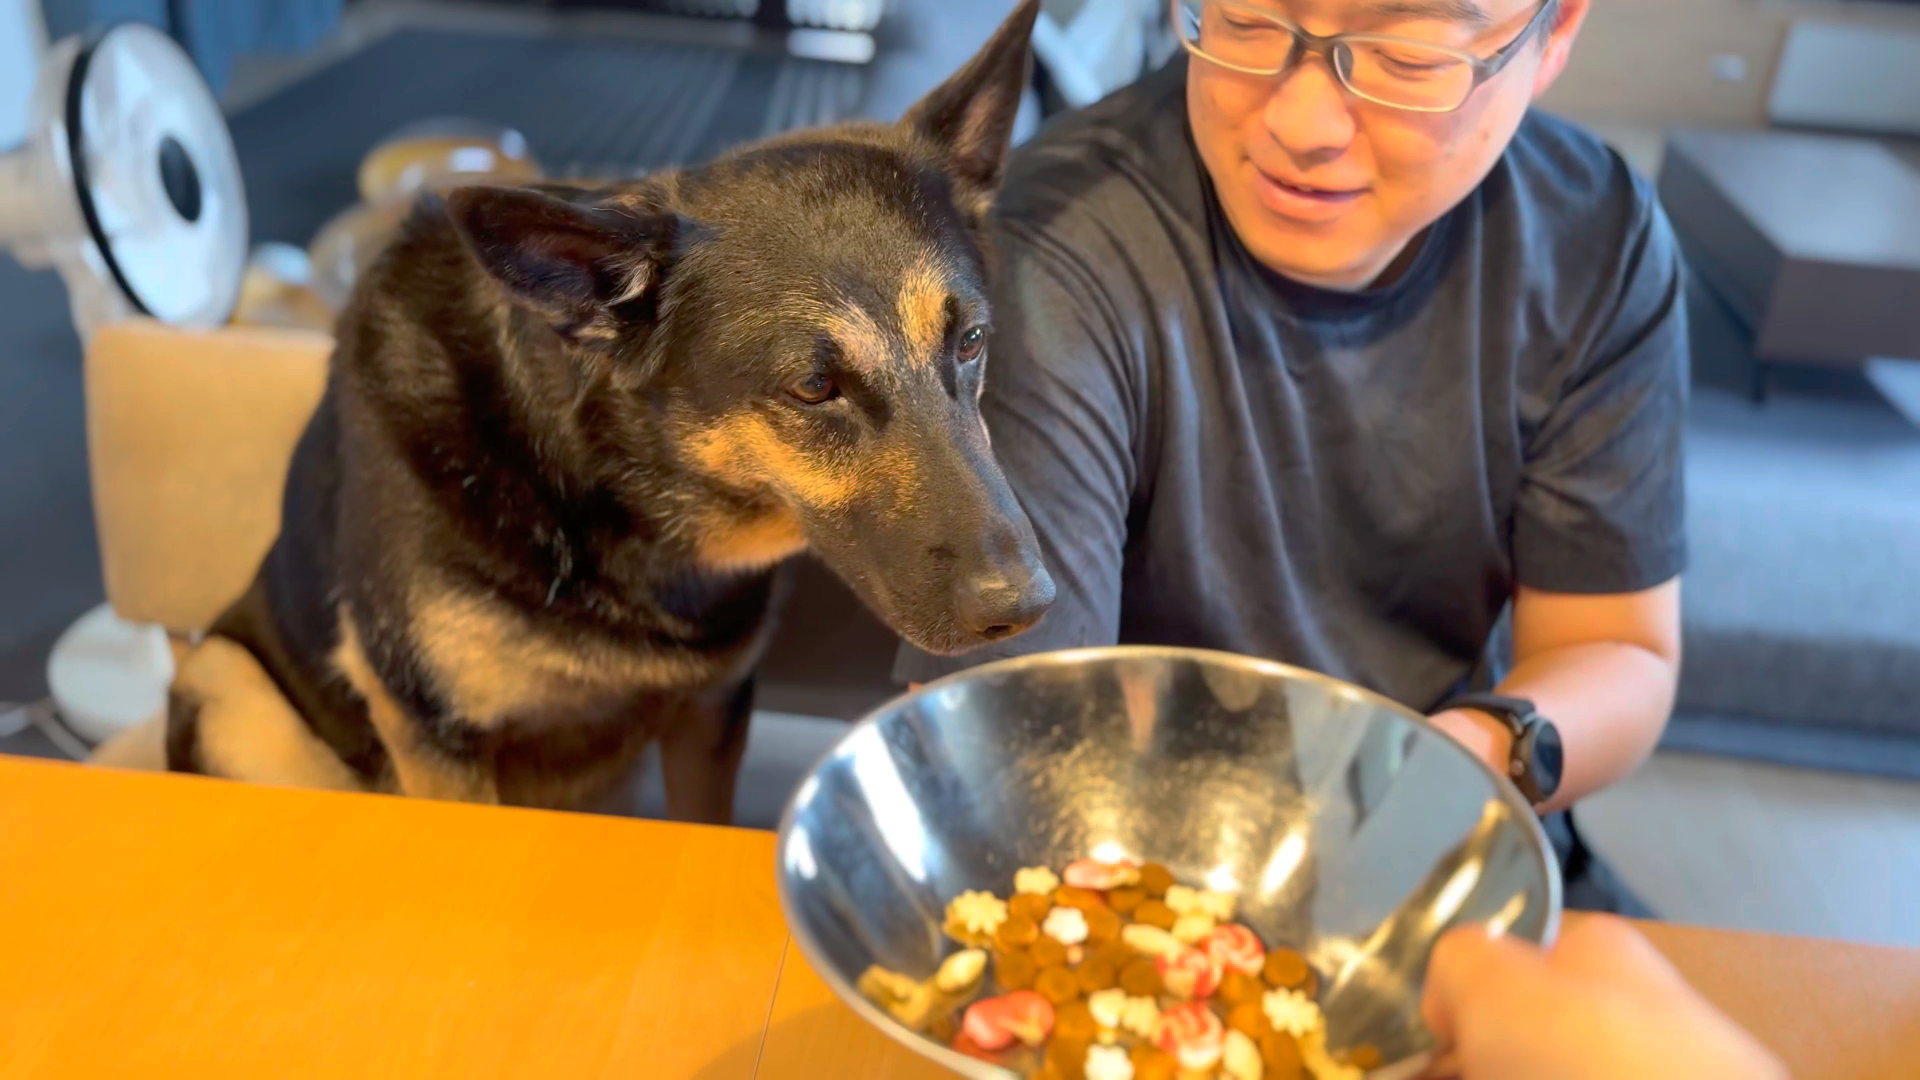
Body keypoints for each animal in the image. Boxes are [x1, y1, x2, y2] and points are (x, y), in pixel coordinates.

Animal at [153, 0, 1054, 823]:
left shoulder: (709, 712)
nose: (1028, 608)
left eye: (971, 341)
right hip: (227, 682)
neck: (605, 493)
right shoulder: (434, 739)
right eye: (812, 387)